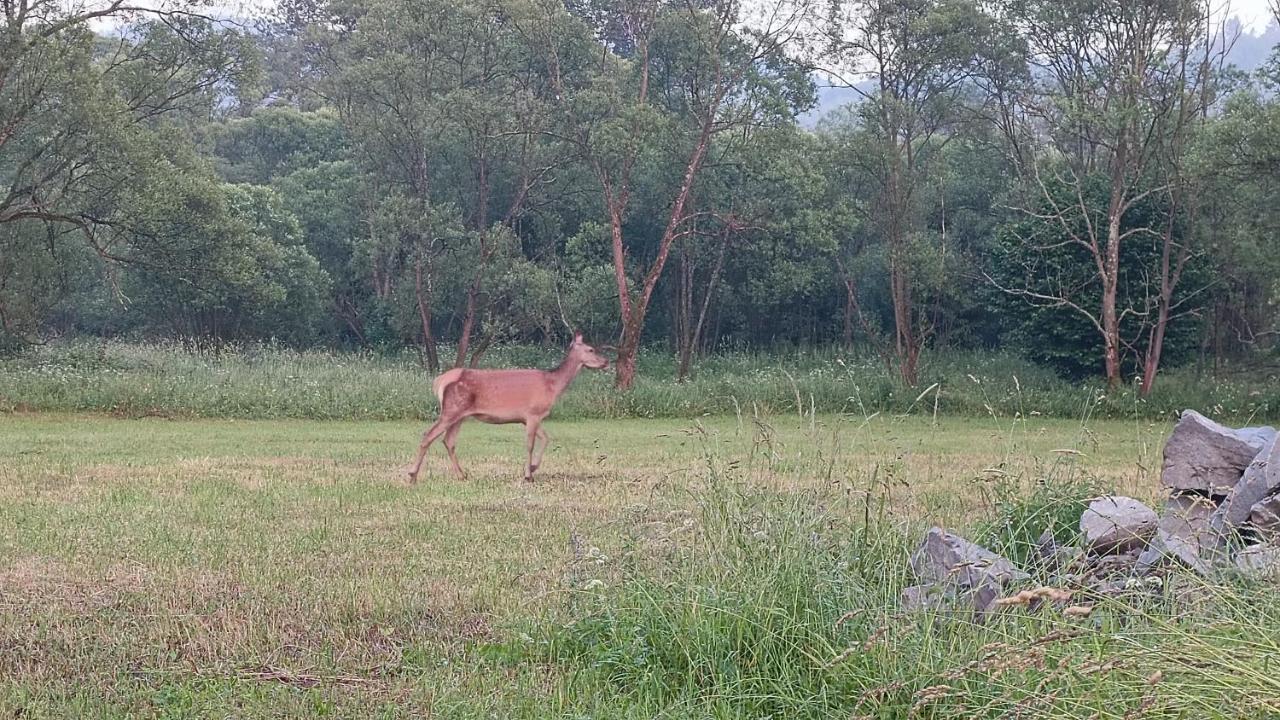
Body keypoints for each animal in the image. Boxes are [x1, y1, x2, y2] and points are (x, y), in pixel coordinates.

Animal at [409, 330, 609, 481]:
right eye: (591, 349)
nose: (606, 361)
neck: (552, 385)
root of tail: (440, 381)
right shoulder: (533, 413)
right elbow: (530, 444)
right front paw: (528, 475)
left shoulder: (529, 417)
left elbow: (546, 438)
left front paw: (533, 468)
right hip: (451, 409)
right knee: (428, 435)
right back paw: (412, 475)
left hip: (460, 414)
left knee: (448, 441)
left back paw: (461, 475)